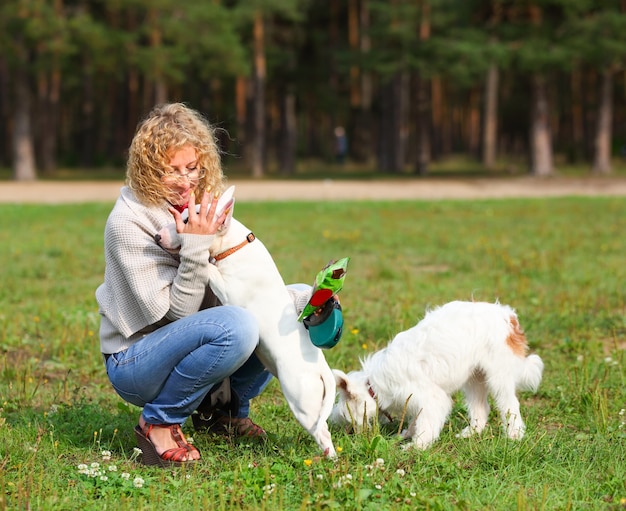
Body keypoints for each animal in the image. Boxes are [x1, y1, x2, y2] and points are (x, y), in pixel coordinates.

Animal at [154, 188, 336, 460]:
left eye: (186, 221)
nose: (157, 236)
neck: (234, 246)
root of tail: (322, 368)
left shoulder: (232, 292)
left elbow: (208, 266)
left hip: (302, 401)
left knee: (322, 432)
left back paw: (329, 459)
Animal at [332, 302, 540, 450]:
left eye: (347, 415)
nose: (355, 435)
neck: (373, 385)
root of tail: (508, 316)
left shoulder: (431, 397)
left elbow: (426, 425)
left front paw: (417, 446)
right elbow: (416, 420)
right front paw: (407, 434)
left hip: (498, 376)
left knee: (510, 405)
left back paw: (514, 434)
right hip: (475, 378)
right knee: (481, 408)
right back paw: (471, 433)